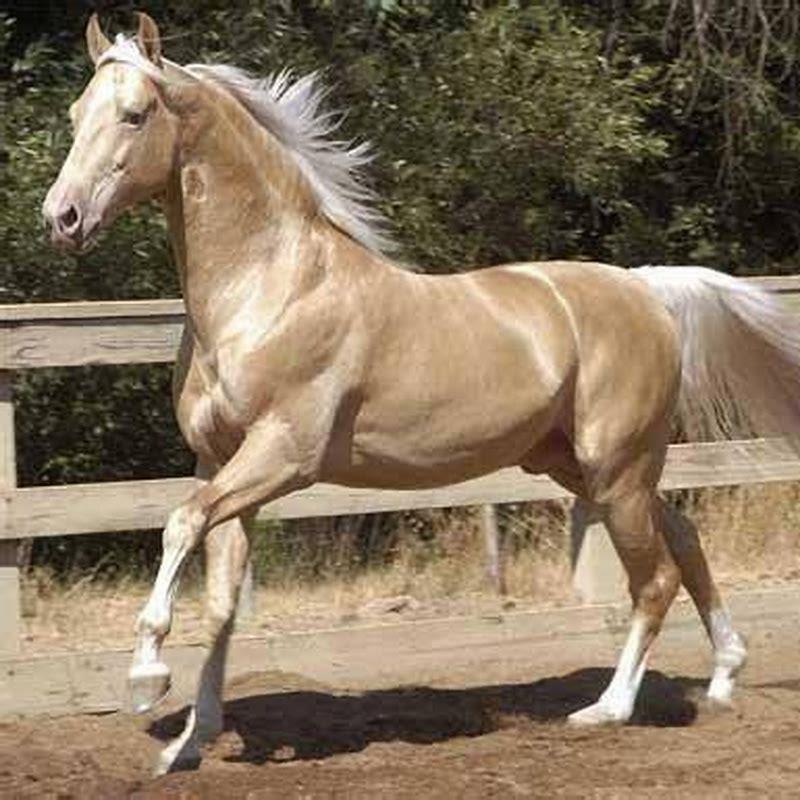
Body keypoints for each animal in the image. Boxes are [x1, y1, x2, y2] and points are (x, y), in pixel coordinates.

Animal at [43, 12, 800, 774]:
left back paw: (606, 710)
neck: (269, 289)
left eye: (135, 114)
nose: (62, 218)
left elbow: (179, 524)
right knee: (685, 538)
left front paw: (145, 680)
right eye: (77, 113)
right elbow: (223, 601)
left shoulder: (283, 455)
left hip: (616, 471)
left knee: (654, 580)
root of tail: (645, 288)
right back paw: (725, 678)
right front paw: (187, 745)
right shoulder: (220, 462)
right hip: (581, 468)